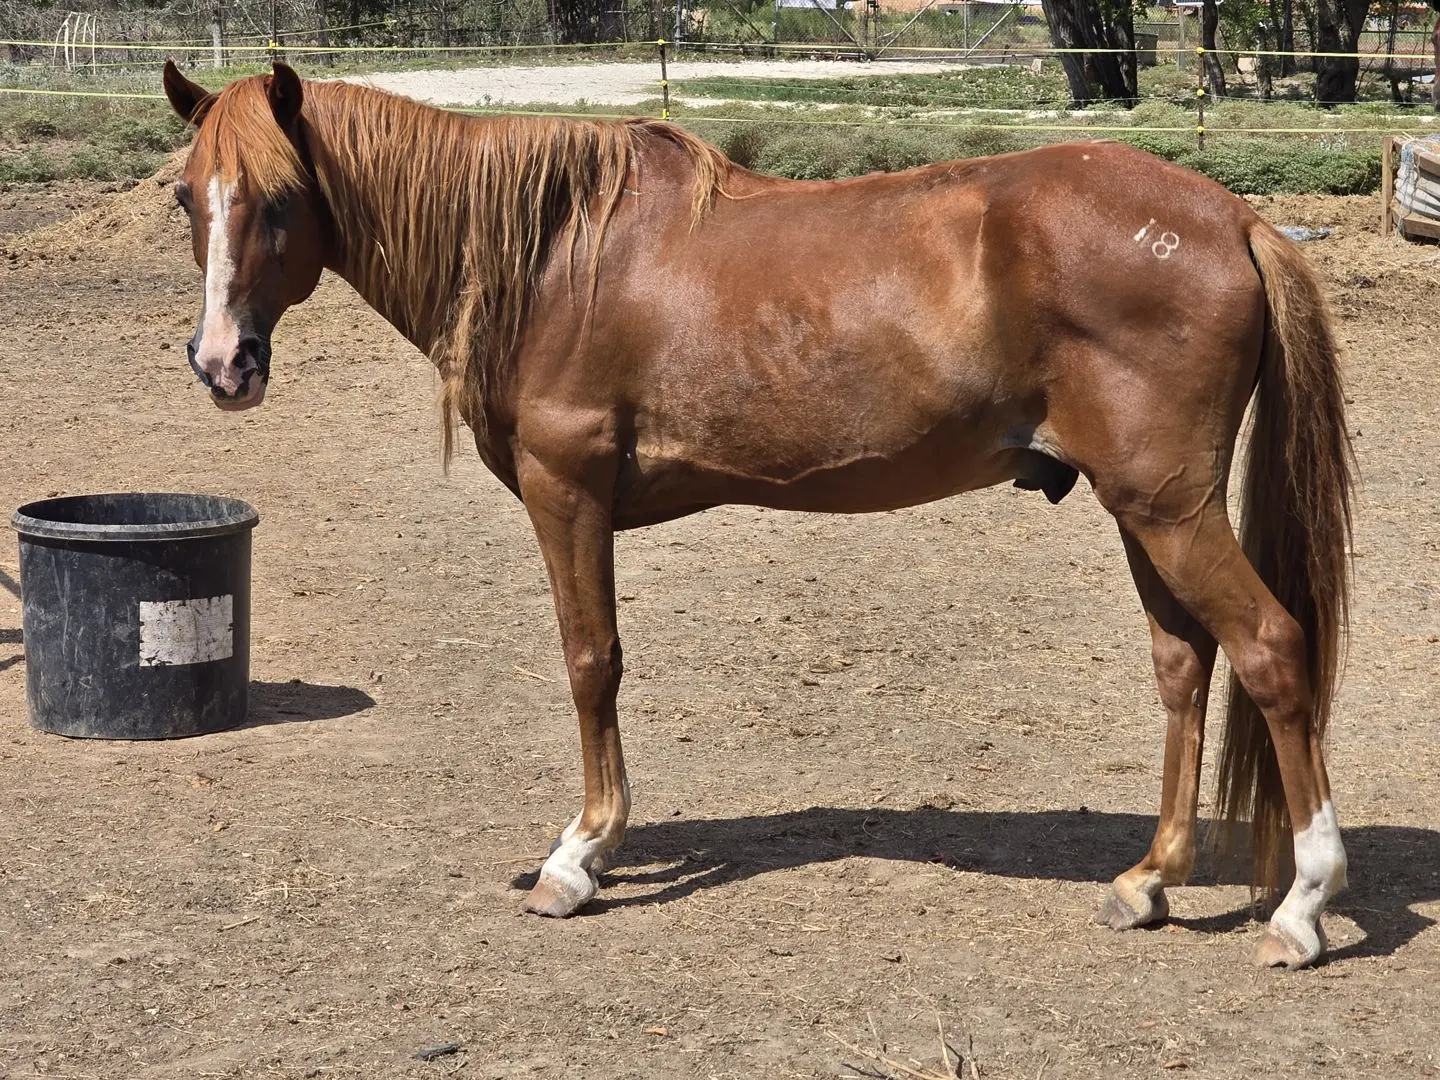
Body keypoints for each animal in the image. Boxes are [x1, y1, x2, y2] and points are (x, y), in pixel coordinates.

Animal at [160, 60, 1354, 970]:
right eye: (188, 196)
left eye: (279, 198)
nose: (223, 365)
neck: (553, 255)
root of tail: (1233, 218)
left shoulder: (567, 490)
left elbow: (591, 662)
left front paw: (579, 858)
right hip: (1142, 510)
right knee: (1184, 665)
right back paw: (1149, 880)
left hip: (1169, 508)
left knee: (1272, 649)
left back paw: (1302, 909)